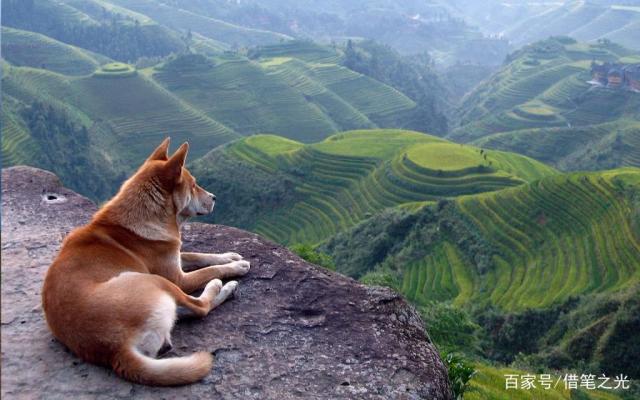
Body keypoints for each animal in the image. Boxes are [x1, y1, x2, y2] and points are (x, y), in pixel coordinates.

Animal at [42, 138, 250, 384]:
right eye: (193, 185)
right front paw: (235, 266)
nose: (215, 197)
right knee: (200, 307)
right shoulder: (178, 278)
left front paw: (229, 255)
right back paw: (222, 286)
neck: (145, 215)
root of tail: (116, 350)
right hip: (154, 281)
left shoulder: (173, 255)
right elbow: (209, 270)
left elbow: (198, 255)